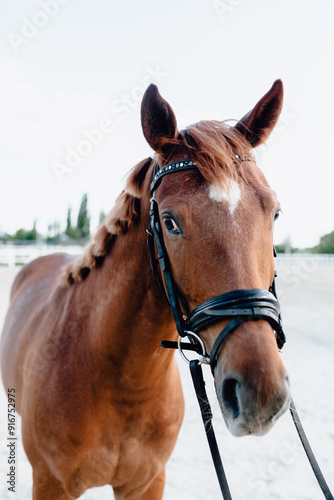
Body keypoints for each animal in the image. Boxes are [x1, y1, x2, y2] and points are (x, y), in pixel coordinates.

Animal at [1, 80, 290, 498]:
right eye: (169, 222)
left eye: (275, 212)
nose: (259, 391)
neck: (123, 381)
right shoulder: (51, 484)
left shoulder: (148, 482)